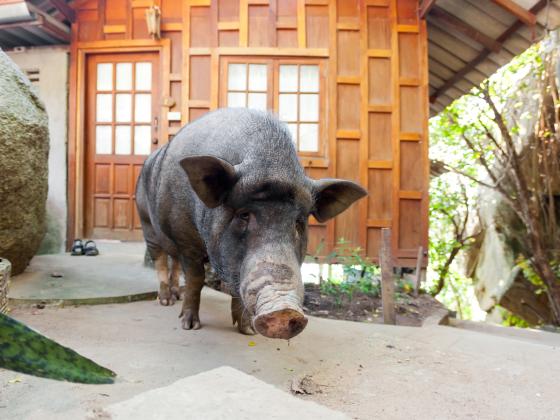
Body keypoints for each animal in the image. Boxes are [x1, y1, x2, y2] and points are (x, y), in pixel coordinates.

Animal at [137, 106, 368, 340]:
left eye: (298, 222)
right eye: (244, 215)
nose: (284, 311)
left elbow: (236, 286)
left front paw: (248, 332)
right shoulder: (185, 238)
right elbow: (196, 279)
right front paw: (190, 326)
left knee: (173, 262)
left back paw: (175, 296)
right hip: (146, 223)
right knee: (160, 260)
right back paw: (166, 301)